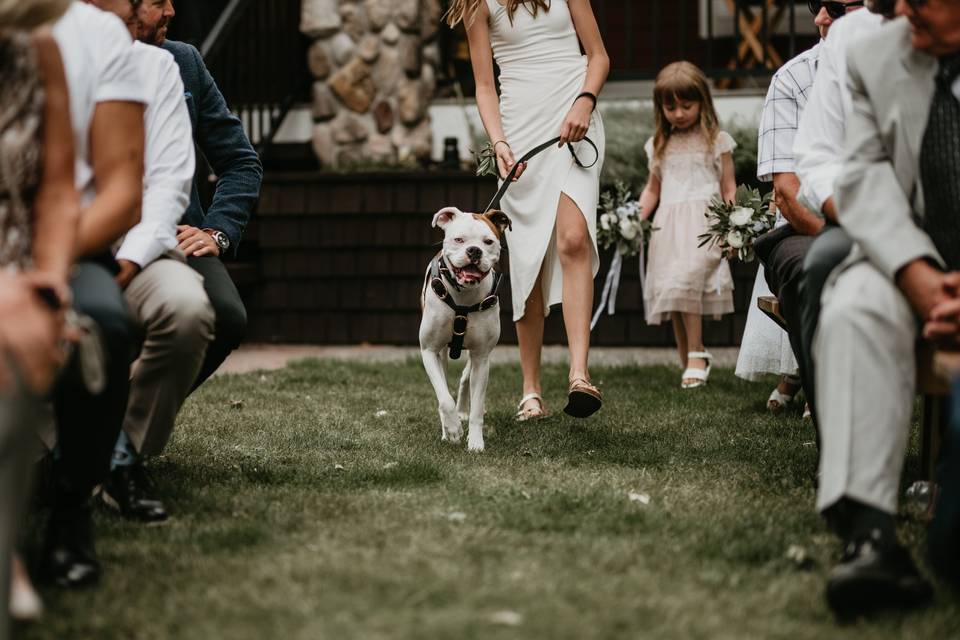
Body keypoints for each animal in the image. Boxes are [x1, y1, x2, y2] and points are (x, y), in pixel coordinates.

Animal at [418, 208, 510, 452]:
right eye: (459, 239)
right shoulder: (429, 351)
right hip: (441, 354)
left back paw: (462, 412)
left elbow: (477, 408)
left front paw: (476, 442)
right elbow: (443, 398)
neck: (463, 296)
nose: (474, 250)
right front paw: (452, 429)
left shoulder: (481, 357)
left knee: (465, 379)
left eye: (488, 241)